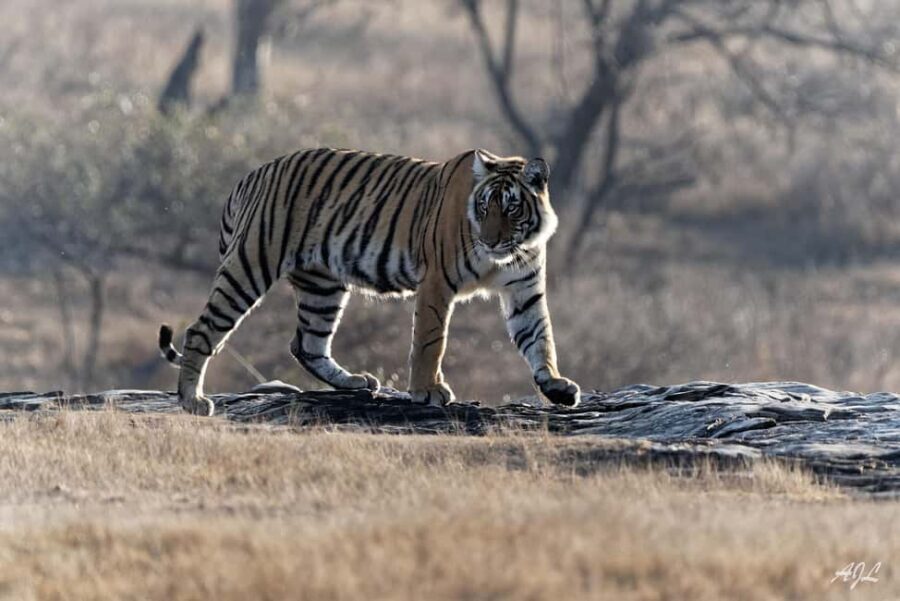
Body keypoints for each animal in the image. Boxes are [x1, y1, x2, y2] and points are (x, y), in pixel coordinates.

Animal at [158, 147, 580, 415]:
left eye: (511, 207)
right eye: (483, 206)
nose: (491, 241)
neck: (510, 252)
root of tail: (251, 175)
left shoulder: (524, 290)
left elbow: (539, 339)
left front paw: (556, 386)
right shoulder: (437, 283)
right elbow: (430, 342)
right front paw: (427, 391)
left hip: (323, 285)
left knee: (307, 343)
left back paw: (353, 382)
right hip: (251, 263)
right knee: (202, 329)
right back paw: (192, 401)